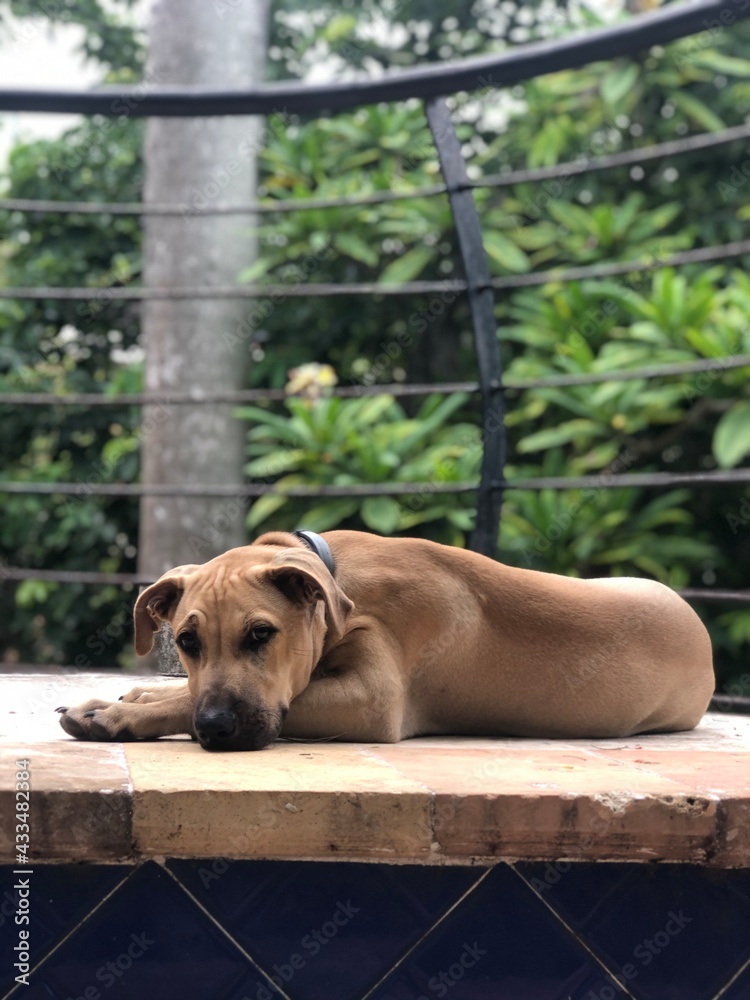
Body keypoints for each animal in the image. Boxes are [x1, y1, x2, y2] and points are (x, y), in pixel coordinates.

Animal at [58, 532, 716, 752]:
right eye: (187, 641)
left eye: (261, 634)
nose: (216, 727)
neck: (339, 581)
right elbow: (177, 692)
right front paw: (138, 696)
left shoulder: (372, 699)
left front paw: (115, 713)